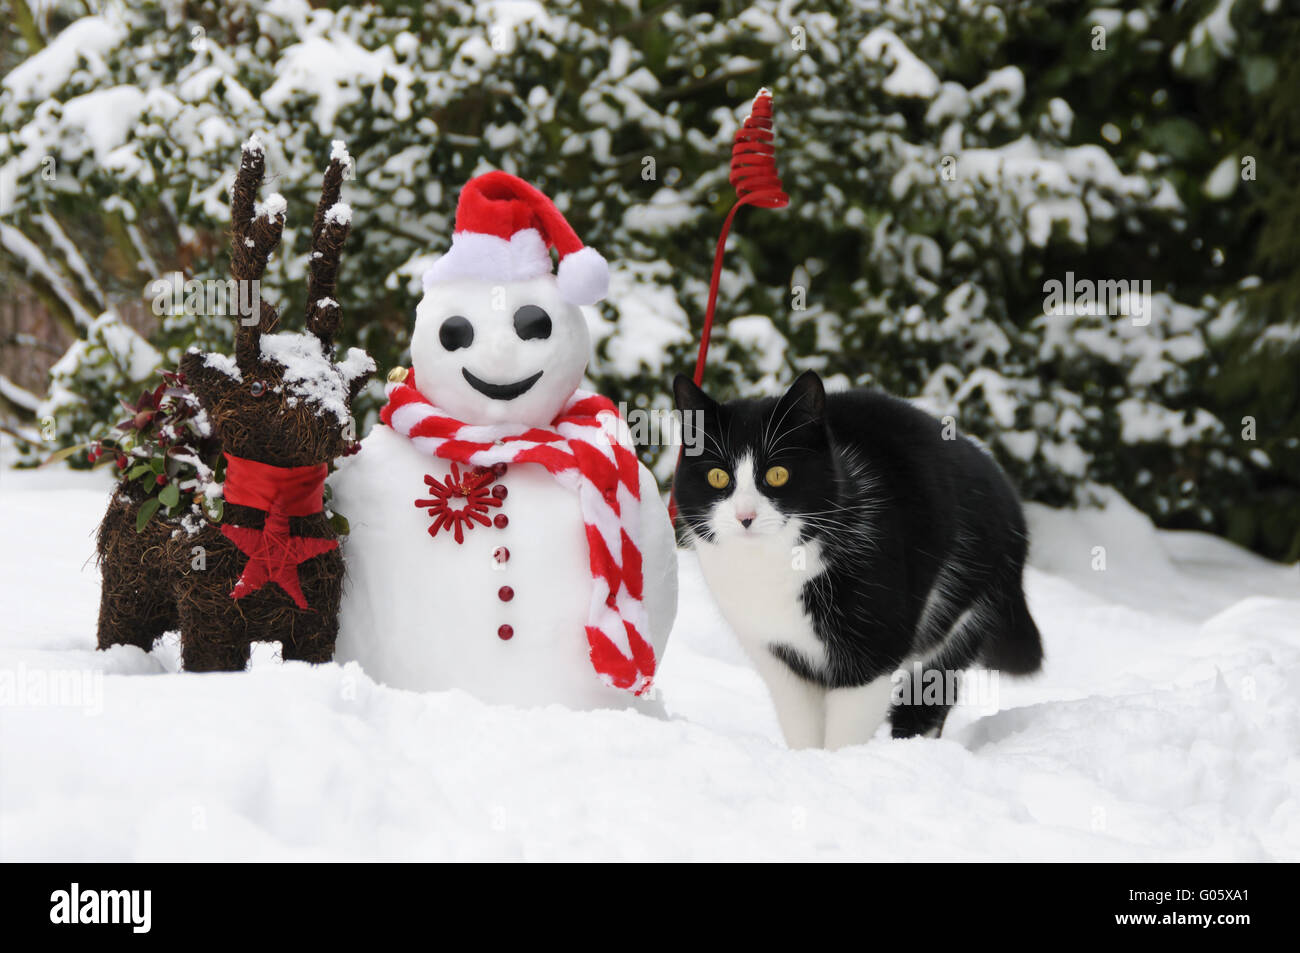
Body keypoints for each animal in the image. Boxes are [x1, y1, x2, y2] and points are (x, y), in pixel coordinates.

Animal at [676, 369, 1040, 748]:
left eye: (777, 474)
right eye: (718, 476)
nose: (744, 516)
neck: (772, 569)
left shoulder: (873, 651)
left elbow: (846, 733)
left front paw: (843, 763)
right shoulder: (779, 657)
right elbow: (802, 728)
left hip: (962, 613)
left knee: (926, 701)